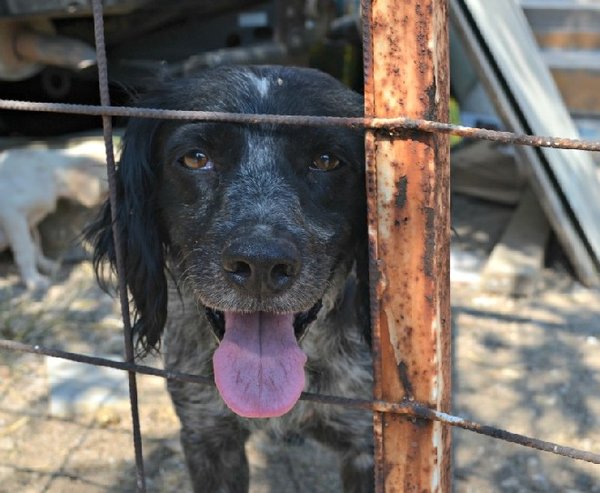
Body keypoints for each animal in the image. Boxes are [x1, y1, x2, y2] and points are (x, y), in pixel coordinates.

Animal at [0, 139, 110, 288]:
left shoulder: (30, 222)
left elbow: (36, 245)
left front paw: (47, 266)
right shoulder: (12, 214)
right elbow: (26, 250)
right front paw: (34, 280)